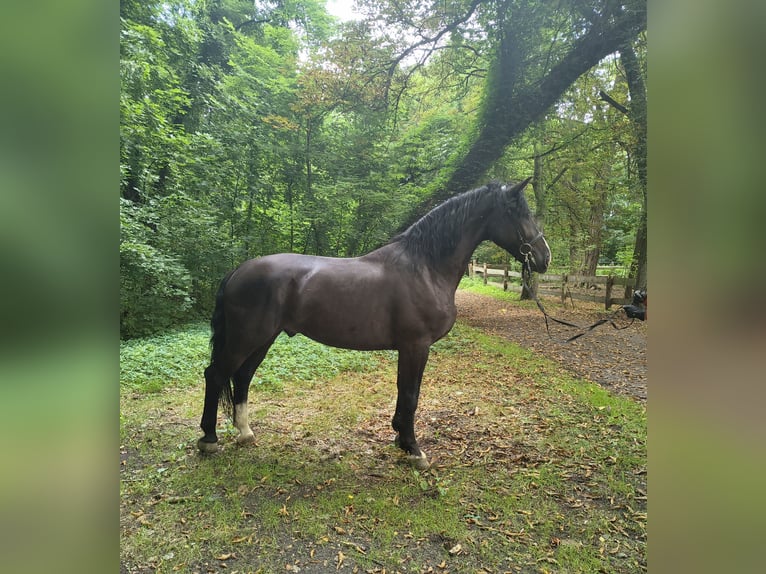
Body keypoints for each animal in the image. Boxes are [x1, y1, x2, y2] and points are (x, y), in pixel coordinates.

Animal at [198, 178, 551, 469]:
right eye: (519, 212)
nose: (544, 258)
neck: (424, 267)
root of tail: (238, 271)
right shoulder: (416, 345)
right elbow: (410, 394)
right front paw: (414, 450)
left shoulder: (410, 348)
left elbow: (405, 392)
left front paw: (401, 439)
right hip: (246, 338)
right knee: (216, 375)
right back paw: (209, 440)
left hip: (263, 339)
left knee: (242, 377)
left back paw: (245, 432)